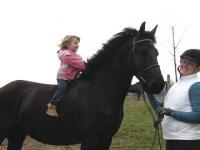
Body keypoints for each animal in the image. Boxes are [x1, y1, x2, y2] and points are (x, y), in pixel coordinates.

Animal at [0, 21, 165, 149]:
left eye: (157, 52)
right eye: (142, 52)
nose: (158, 84)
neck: (100, 92)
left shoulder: (106, 139)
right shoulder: (90, 140)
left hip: (17, 134)